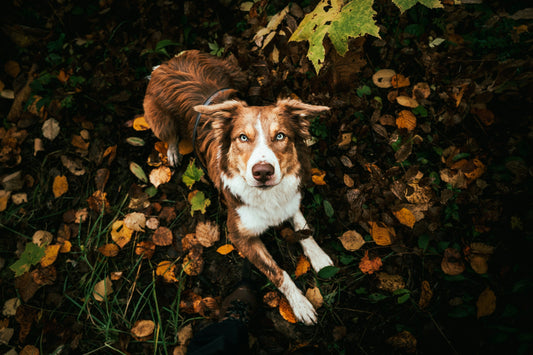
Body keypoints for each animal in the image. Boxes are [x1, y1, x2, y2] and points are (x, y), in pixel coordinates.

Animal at [141, 50, 332, 326]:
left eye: (280, 136)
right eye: (242, 137)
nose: (262, 172)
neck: (267, 197)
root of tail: (166, 65)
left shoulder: (290, 200)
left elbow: (302, 226)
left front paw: (318, 257)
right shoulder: (239, 235)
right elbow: (278, 272)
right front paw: (300, 305)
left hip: (237, 74)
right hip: (159, 120)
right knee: (170, 136)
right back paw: (173, 152)